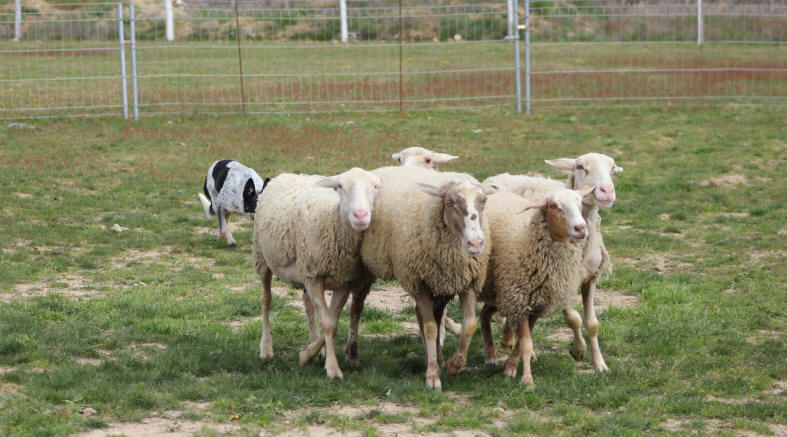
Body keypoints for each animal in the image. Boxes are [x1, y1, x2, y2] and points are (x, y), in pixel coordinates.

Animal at [254, 167, 384, 378]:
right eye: (340, 186)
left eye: (374, 187)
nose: (361, 215)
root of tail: (287, 174)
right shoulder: (314, 278)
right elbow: (328, 324)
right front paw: (332, 368)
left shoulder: (343, 281)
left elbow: (333, 323)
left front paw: (310, 353)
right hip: (262, 257)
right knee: (266, 300)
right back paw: (266, 347)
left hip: (304, 271)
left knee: (307, 304)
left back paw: (314, 344)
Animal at [346, 166, 490, 388]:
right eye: (449, 202)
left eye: (483, 201)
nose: (475, 243)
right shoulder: (418, 281)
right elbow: (430, 328)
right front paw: (432, 375)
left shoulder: (467, 282)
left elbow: (469, 324)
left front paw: (455, 365)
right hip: (366, 267)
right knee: (356, 309)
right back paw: (352, 353)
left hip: (439, 284)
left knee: (433, 315)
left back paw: (439, 358)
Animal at [478, 186, 596, 384]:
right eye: (554, 206)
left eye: (580, 203)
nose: (581, 228)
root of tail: (497, 194)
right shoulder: (519, 302)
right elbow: (526, 343)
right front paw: (526, 379)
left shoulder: (535, 305)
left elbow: (522, 342)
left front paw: (510, 366)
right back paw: (489, 355)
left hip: (497, 291)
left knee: (484, 314)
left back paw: (491, 353)